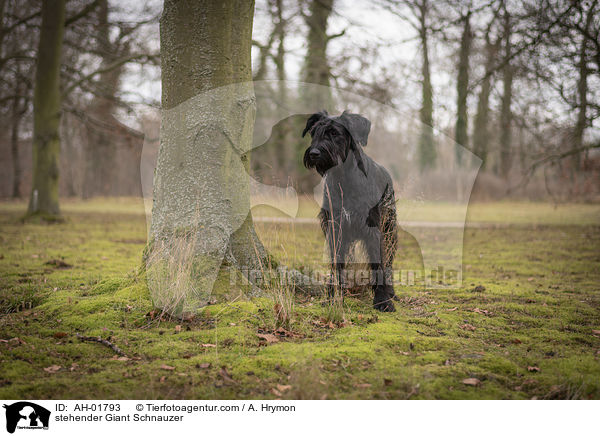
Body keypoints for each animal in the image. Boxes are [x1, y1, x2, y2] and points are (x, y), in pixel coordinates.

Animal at [302, 110, 396, 312]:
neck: (344, 177)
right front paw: (334, 296)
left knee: (390, 260)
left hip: (390, 229)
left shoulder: (373, 229)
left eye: (334, 133)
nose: (314, 153)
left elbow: (378, 263)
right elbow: (336, 262)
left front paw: (383, 300)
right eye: (314, 132)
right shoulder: (335, 227)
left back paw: (391, 291)